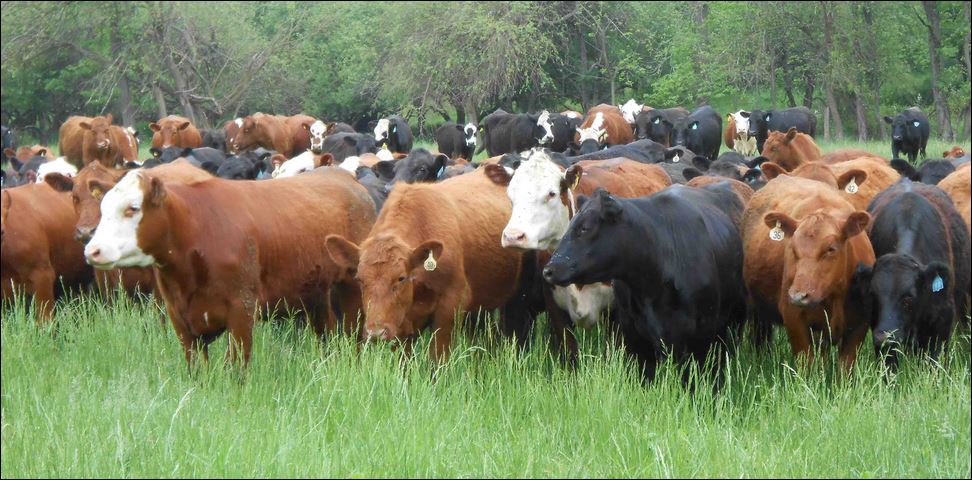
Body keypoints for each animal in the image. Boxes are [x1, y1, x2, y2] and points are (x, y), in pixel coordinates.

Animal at [83, 167, 377, 366]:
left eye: (132, 208)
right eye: (103, 207)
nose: (92, 250)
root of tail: (343, 176)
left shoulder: (241, 310)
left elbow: (235, 367)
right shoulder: (179, 317)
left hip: (353, 293)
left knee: (354, 338)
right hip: (317, 297)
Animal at [324, 168, 536, 362]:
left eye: (401, 278)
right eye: (360, 279)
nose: (376, 333)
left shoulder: (451, 307)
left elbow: (437, 359)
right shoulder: (402, 324)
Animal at [742, 175, 875, 368]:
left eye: (831, 248)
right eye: (792, 248)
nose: (798, 296)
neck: (835, 296)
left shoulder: (859, 324)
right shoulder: (794, 319)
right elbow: (807, 365)